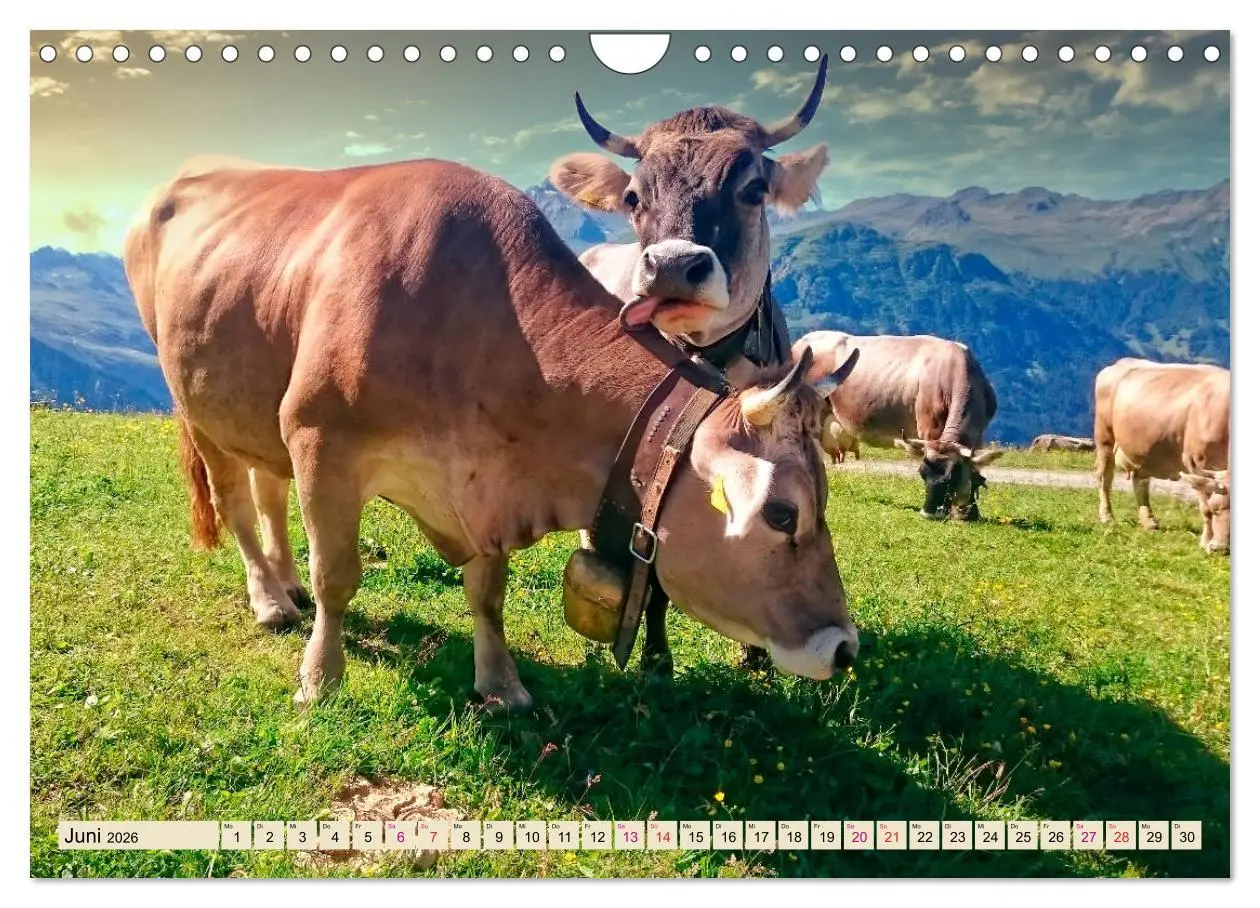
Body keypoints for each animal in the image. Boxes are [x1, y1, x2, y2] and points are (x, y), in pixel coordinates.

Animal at [123, 157, 862, 712]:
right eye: (781, 513)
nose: (845, 647)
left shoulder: (488, 486)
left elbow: (488, 591)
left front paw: (502, 685)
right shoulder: (319, 438)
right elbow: (336, 576)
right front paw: (319, 679)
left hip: (252, 404)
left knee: (269, 493)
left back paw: (283, 584)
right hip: (196, 403)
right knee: (238, 504)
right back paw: (271, 599)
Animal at [794, 330, 1002, 521]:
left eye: (951, 477)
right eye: (922, 474)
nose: (927, 514)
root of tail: (803, 341)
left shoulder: (978, 435)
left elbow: (975, 468)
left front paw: (968, 512)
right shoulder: (929, 429)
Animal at [1093, 357, 1230, 554]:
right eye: (1216, 508)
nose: (1219, 548)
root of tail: (1122, 361)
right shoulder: (1196, 462)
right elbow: (1205, 506)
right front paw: (1205, 541)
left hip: (1143, 448)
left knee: (1140, 481)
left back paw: (1148, 522)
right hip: (1104, 437)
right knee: (1105, 477)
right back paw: (1107, 517)